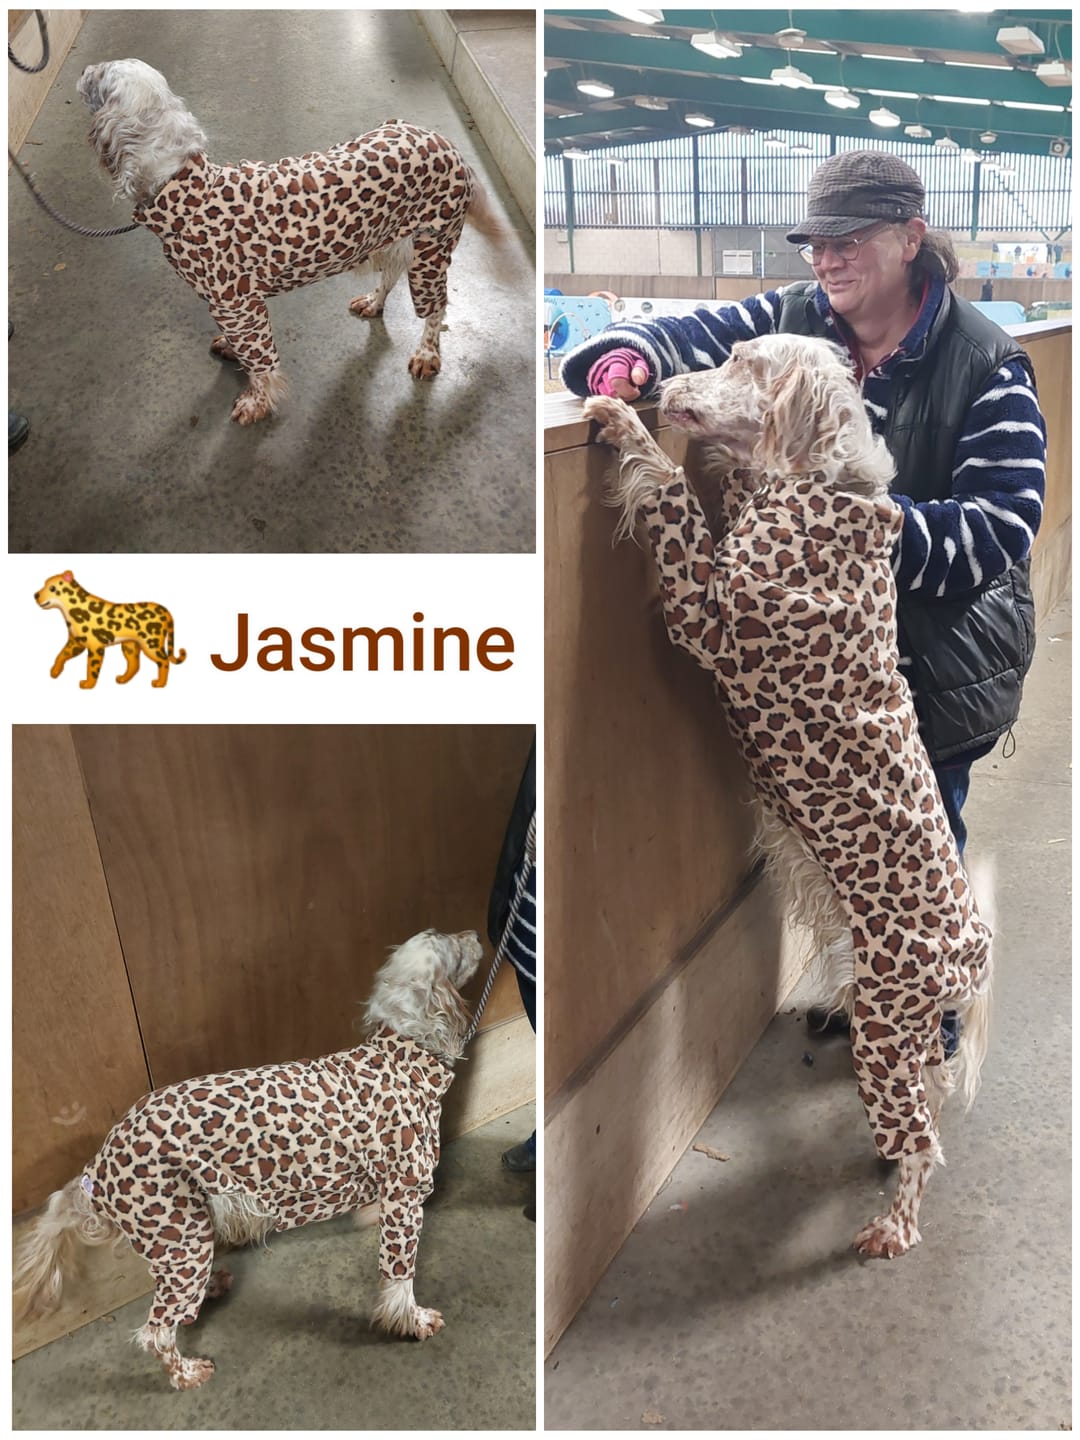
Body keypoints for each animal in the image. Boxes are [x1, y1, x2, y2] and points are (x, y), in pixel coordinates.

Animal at [36, 571, 186, 689]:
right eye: (45, 584)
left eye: (52, 588)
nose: (35, 595)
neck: (68, 611)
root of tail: (166, 611)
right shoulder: (76, 642)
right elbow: (61, 655)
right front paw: (54, 671)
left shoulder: (95, 647)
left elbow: (92, 668)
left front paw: (88, 684)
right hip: (130, 646)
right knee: (134, 665)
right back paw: (123, 679)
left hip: (151, 644)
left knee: (164, 661)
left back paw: (160, 683)